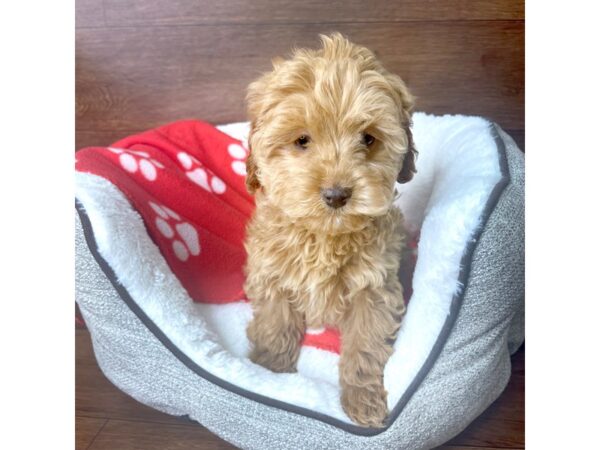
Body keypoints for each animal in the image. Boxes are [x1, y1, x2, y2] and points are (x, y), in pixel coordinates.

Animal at [241, 33, 414, 428]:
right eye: (302, 140)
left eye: (368, 139)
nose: (336, 195)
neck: (323, 236)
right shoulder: (272, 276)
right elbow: (275, 325)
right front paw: (270, 374)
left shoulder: (375, 287)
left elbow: (365, 344)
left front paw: (363, 400)